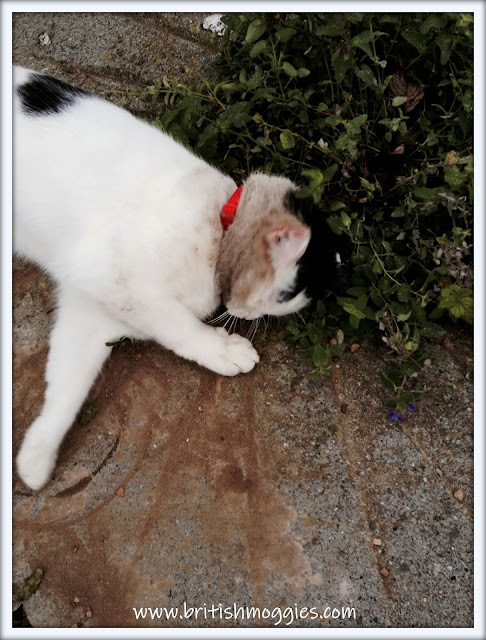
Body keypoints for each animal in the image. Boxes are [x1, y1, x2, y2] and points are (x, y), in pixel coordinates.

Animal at [14, 66, 334, 490]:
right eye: (279, 300)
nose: (249, 319)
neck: (218, 223)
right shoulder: (122, 282)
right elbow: (179, 327)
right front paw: (223, 350)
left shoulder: (92, 309)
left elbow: (67, 384)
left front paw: (36, 457)